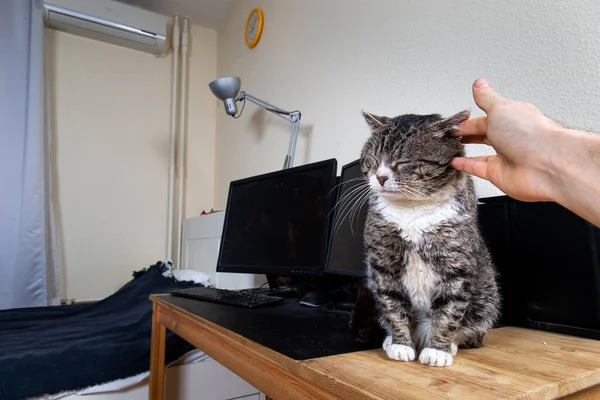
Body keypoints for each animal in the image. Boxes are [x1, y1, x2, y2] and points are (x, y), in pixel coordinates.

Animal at [360, 108, 502, 366]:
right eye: (373, 160)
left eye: (403, 161)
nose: (381, 178)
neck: (413, 209)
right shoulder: (383, 264)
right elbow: (393, 306)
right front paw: (400, 344)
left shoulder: (456, 264)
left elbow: (449, 311)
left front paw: (438, 350)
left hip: (487, 302)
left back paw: (450, 344)